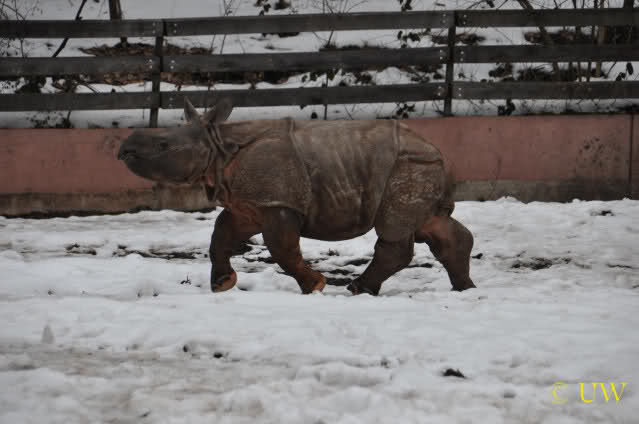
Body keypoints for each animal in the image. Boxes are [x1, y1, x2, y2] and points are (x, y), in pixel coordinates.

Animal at [118, 98, 476, 295]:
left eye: (163, 144)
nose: (124, 147)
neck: (218, 145)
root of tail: (437, 151)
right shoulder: (249, 204)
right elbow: (220, 235)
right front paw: (223, 284)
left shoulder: (278, 202)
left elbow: (282, 249)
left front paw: (315, 285)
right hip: (419, 166)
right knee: (433, 222)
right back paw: (465, 289)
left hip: (407, 166)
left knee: (395, 229)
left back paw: (358, 289)